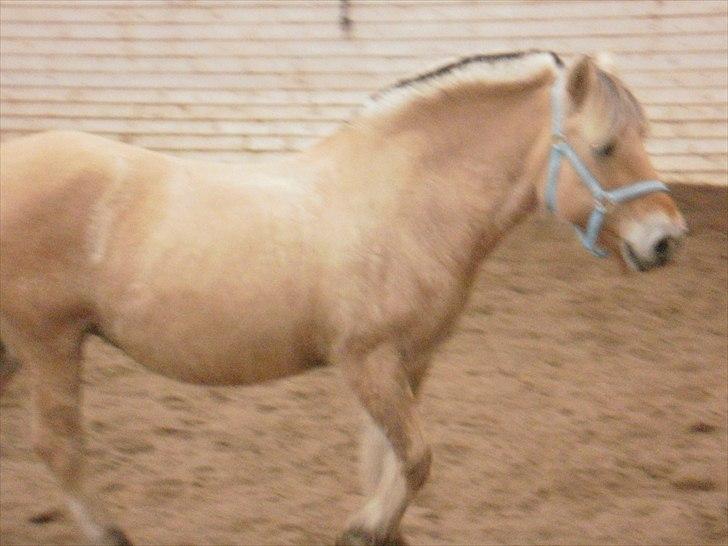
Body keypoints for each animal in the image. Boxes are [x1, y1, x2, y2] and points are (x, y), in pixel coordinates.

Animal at [0, 51, 687, 546]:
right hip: (50, 340)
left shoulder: (410, 362)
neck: (404, 203)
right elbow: (415, 459)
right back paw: (110, 533)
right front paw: (364, 528)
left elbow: (386, 460)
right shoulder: (368, 360)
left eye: (644, 134)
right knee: (59, 445)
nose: (666, 240)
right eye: (604, 147)